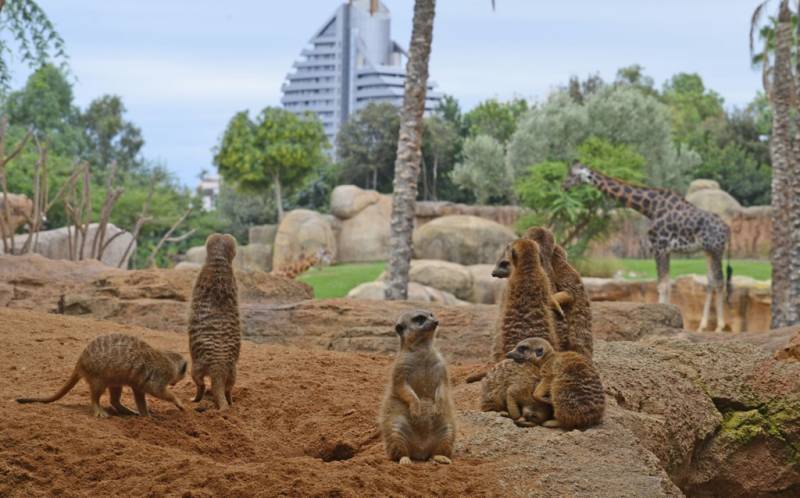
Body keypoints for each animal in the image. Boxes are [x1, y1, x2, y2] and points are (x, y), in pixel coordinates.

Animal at [564, 161, 732, 330]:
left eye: (572, 174)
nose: (564, 186)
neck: (650, 207)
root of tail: (727, 228)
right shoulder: (666, 250)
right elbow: (666, 284)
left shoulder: (659, 247)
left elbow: (662, 285)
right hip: (707, 250)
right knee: (711, 281)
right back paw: (703, 326)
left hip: (716, 249)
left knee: (719, 281)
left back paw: (720, 326)